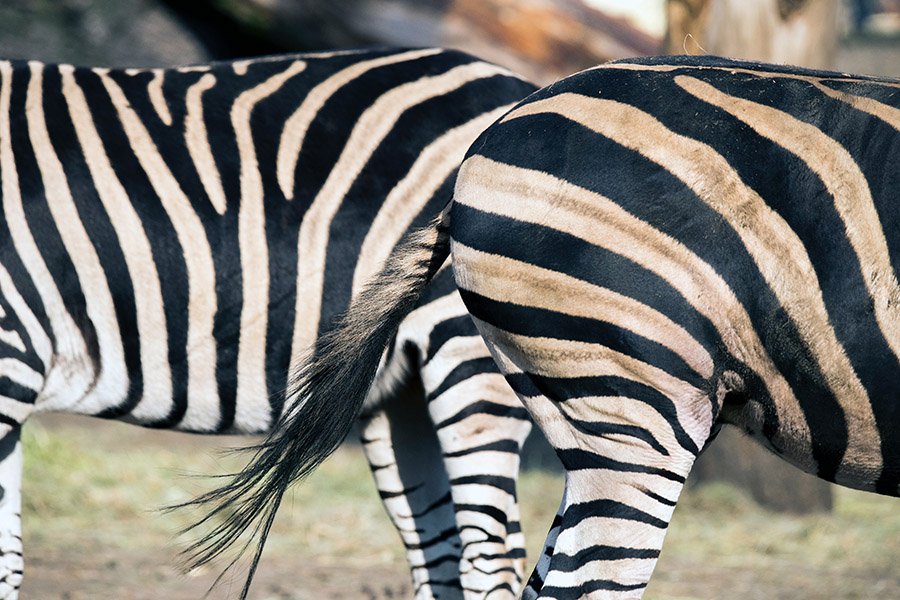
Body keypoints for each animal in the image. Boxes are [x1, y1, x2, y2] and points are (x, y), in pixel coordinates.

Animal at [0, 48, 538, 599]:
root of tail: (526, 88)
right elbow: (9, 559)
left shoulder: (10, 359)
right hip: (400, 391)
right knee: (443, 557)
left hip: (470, 357)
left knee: (490, 559)